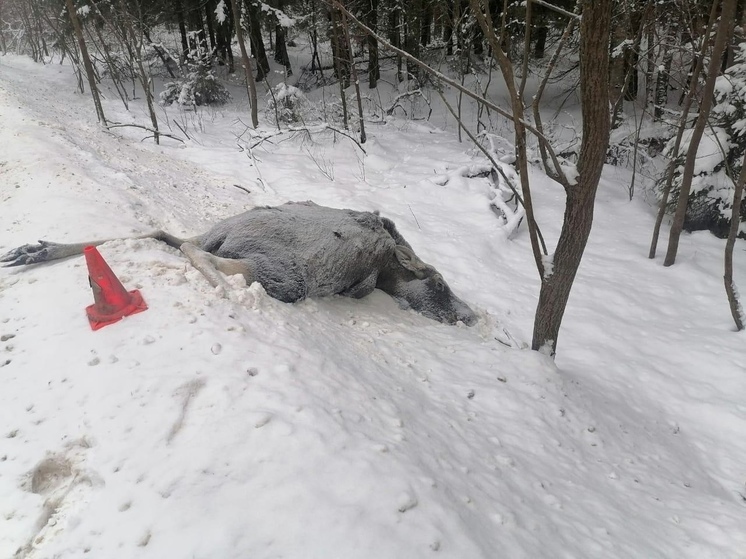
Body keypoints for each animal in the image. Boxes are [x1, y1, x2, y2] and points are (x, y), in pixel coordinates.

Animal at [0, 201, 474, 326]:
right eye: (440, 286)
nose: (469, 315)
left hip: (224, 237)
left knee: (165, 234)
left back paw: (37, 250)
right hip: (286, 274)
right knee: (192, 251)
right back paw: (224, 290)